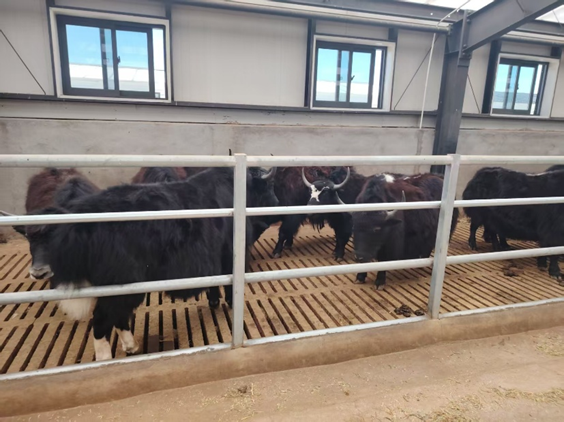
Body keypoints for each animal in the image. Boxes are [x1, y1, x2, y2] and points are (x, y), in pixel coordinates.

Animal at [28, 166, 277, 360]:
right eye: (267, 187)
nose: (276, 205)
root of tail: (80, 222)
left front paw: (214, 302)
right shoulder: (230, 254)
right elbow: (229, 284)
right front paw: (230, 305)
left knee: (117, 317)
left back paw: (131, 346)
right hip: (123, 284)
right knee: (102, 320)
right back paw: (106, 358)